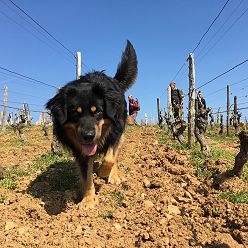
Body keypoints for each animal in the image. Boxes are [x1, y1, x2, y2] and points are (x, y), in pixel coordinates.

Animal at [46, 40, 138, 207]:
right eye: (75, 112)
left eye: (98, 111)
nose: (88, 136)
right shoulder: (80, 150)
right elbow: (86, 175)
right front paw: (88, 200)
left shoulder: (116, 132)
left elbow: (109, 158)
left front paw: (103, 172)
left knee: (115, 156)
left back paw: (113, 176)